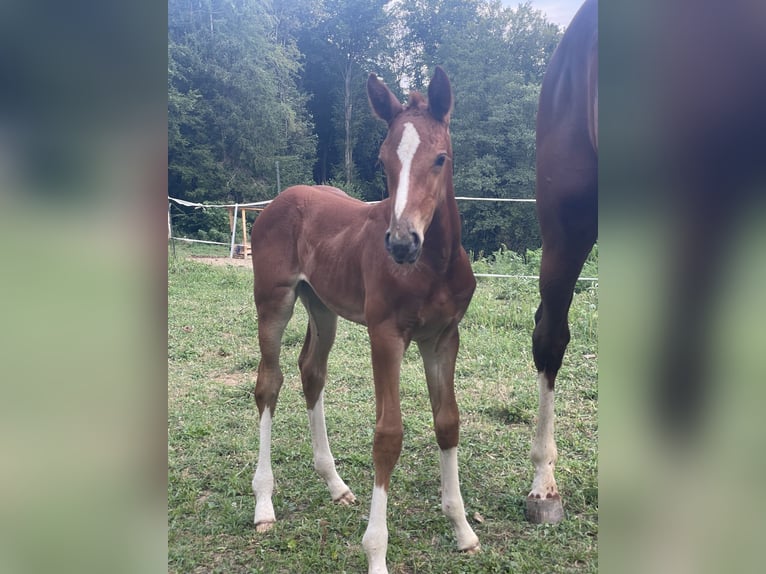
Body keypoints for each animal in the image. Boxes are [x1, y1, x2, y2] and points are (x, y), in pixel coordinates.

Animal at [249, 67, 479, 573]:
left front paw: (462, 529)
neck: (432, 266)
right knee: (269, 383)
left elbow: (448, 421)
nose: (401, 242)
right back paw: (264, 503)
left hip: (322, 305)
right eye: (383, 159)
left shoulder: (443, 336)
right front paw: (376, 552)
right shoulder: (386, 334)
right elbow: (388, 435)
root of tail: (279, 199)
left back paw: (335, 484)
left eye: (440, 158)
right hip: (274, 301)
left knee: (311, 371)